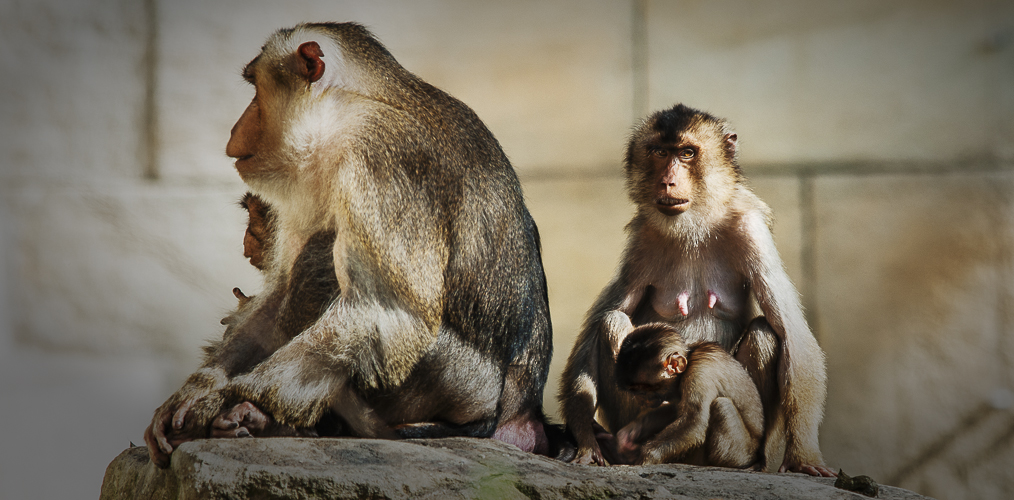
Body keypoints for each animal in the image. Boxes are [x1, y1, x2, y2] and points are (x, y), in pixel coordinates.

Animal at [143, 22, 551, 468]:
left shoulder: (382, 161)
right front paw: (195, 394)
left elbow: (387, 311)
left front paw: (233, 401)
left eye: (254, 89)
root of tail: (517, 414)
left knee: (327, 264)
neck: (349, 109)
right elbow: (279, 291)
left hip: (455, 385)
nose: (235, 127)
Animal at [612, 322, 762, 466]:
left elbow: (693, 421)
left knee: (721, 405)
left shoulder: (700, 371)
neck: (689, 360)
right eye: (634, 391)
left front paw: (647, 457)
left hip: (742, 453)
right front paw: (628, 436)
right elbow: (675, 410)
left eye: (642, 391)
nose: (639, 400)